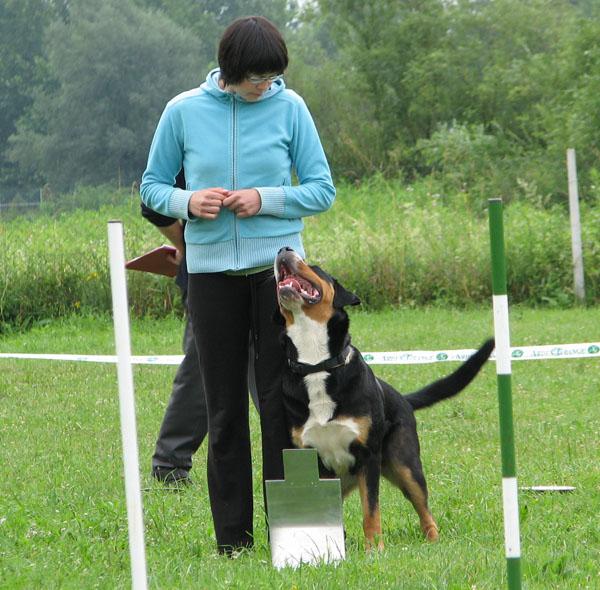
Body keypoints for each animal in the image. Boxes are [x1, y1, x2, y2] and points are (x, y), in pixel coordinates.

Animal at [273, 247, 494, 550]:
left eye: (314, 266)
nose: (284, 249)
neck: (316, 364)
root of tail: (401, 397)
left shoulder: (368, 457)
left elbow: (371, 510)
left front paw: (374, 550)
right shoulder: (308, 457)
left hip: (405, 465)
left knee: (425, 511)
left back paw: (433, 540)